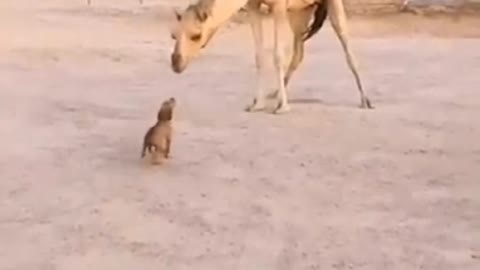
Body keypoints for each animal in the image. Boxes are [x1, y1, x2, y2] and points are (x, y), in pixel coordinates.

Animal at [171, 0, 374, 113]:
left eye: (196, 35)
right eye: (174, 34)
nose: (176, 63)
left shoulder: (279, 6)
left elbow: (277, 54)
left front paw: (283, 108)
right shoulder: (253, 5)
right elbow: (259, 55)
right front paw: (257, 104)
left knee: (345, 42)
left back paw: (366, 100)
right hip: (301, 10)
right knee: (299, 51)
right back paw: (275, 94)